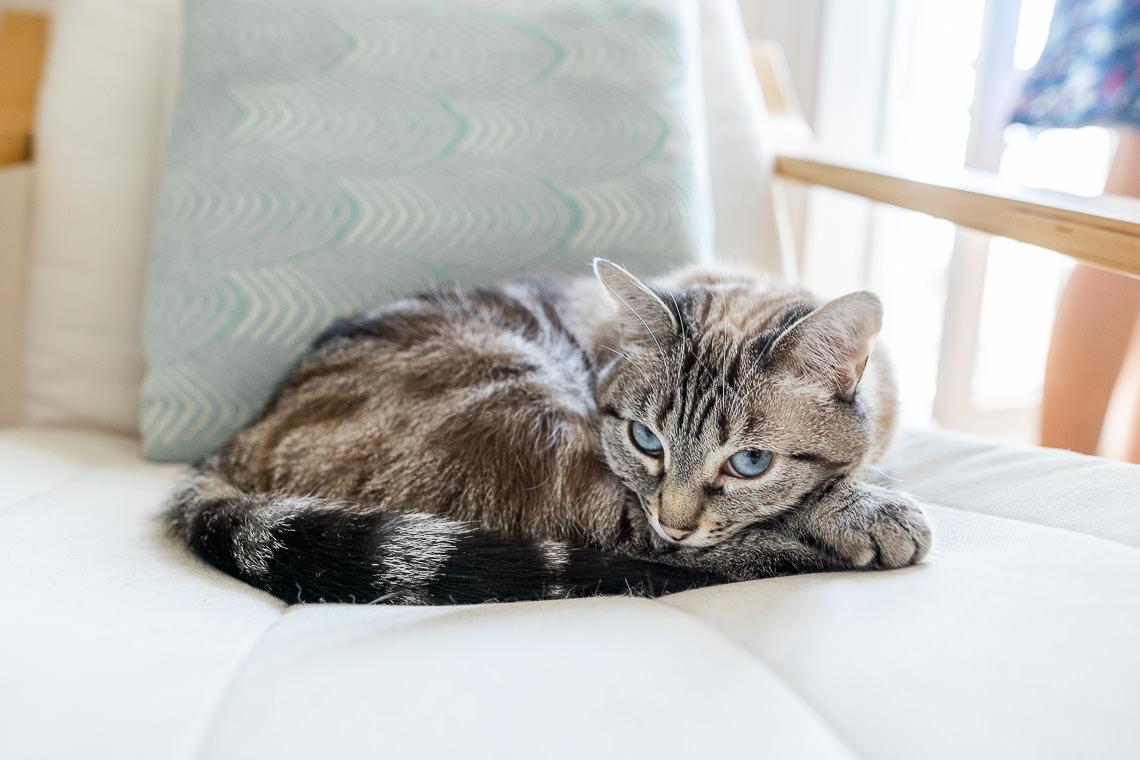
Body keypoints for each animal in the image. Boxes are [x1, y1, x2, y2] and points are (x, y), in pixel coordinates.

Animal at [168, 262, 934, 606]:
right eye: (646, 440)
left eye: (748, 462)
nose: (677, 518)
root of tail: (240, 440)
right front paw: (868, 510)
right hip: (526, 413)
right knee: (646, 552)